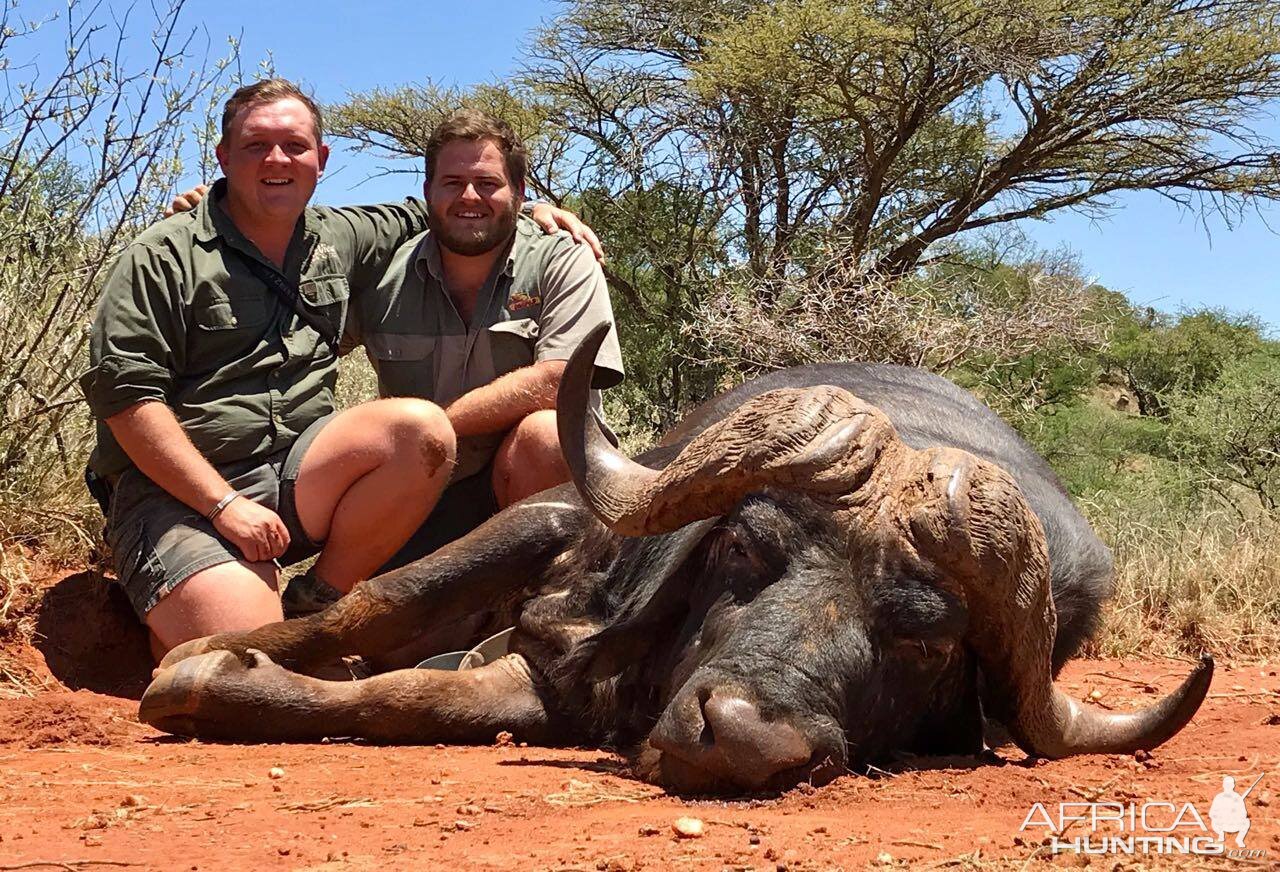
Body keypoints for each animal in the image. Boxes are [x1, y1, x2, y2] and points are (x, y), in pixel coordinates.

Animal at [140, 322, 1208, 793]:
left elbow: (412, 701)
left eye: (928, 644)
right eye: (744, 545)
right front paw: (198, 660)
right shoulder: (550, 526)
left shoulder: (555, 689)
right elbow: (370, 604)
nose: (746, 742)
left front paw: (227, 683)